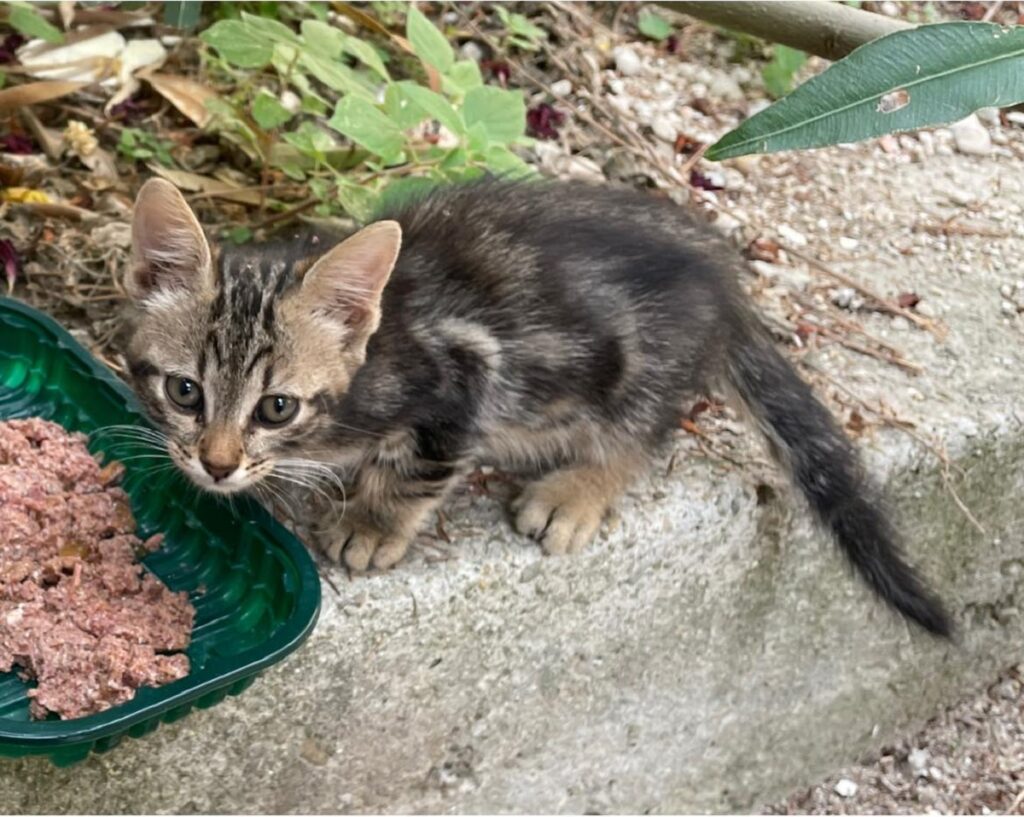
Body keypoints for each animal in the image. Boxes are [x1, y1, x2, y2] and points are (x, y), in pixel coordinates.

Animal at [117, 179, 950, 638]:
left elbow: (422, 463)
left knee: (646, 426)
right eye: (185, 391)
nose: (216, 464)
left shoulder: (465, 373)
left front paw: (374, 523)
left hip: (637, 370)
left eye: (278, 407)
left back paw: (576, 491)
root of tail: (723, 282)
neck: (374, 353)